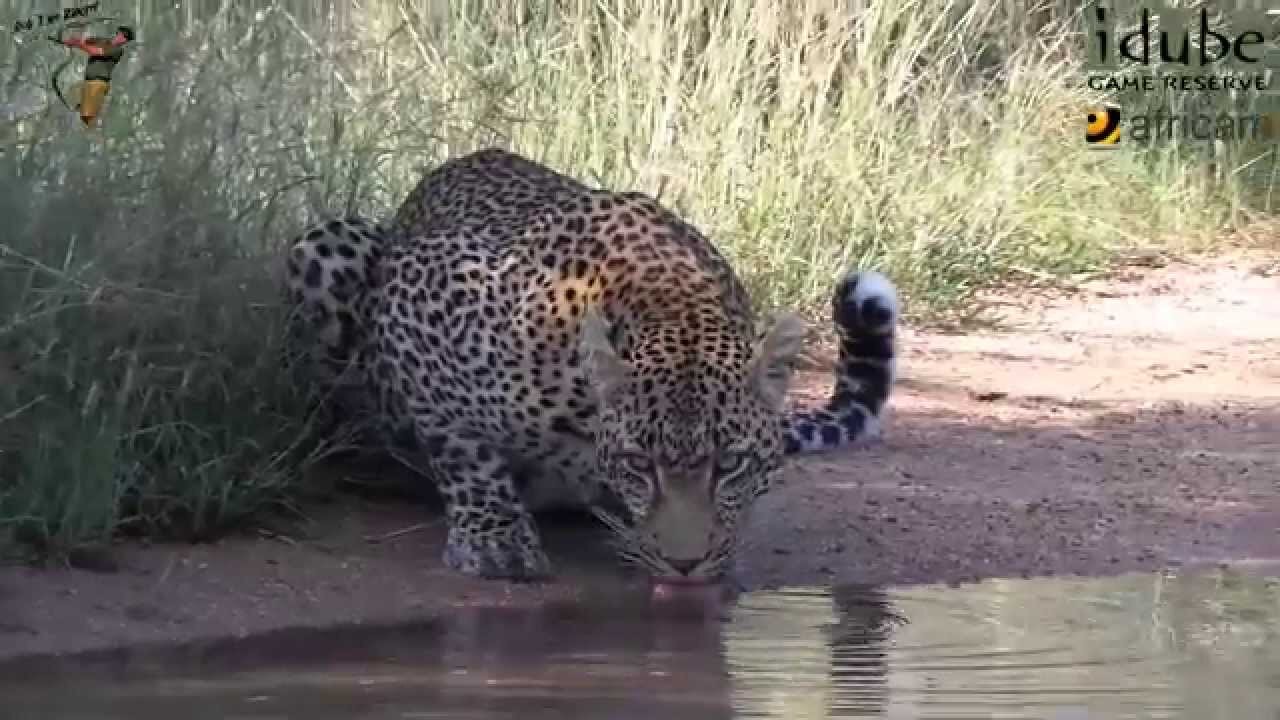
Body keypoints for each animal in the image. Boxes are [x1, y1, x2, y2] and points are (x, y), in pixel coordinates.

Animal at [284, 148, 896, 579]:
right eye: (639, 464)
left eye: (731, 466)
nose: (685, 565)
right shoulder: (417, 296)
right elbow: (461, 445)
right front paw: (495, 540)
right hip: (327, 241)